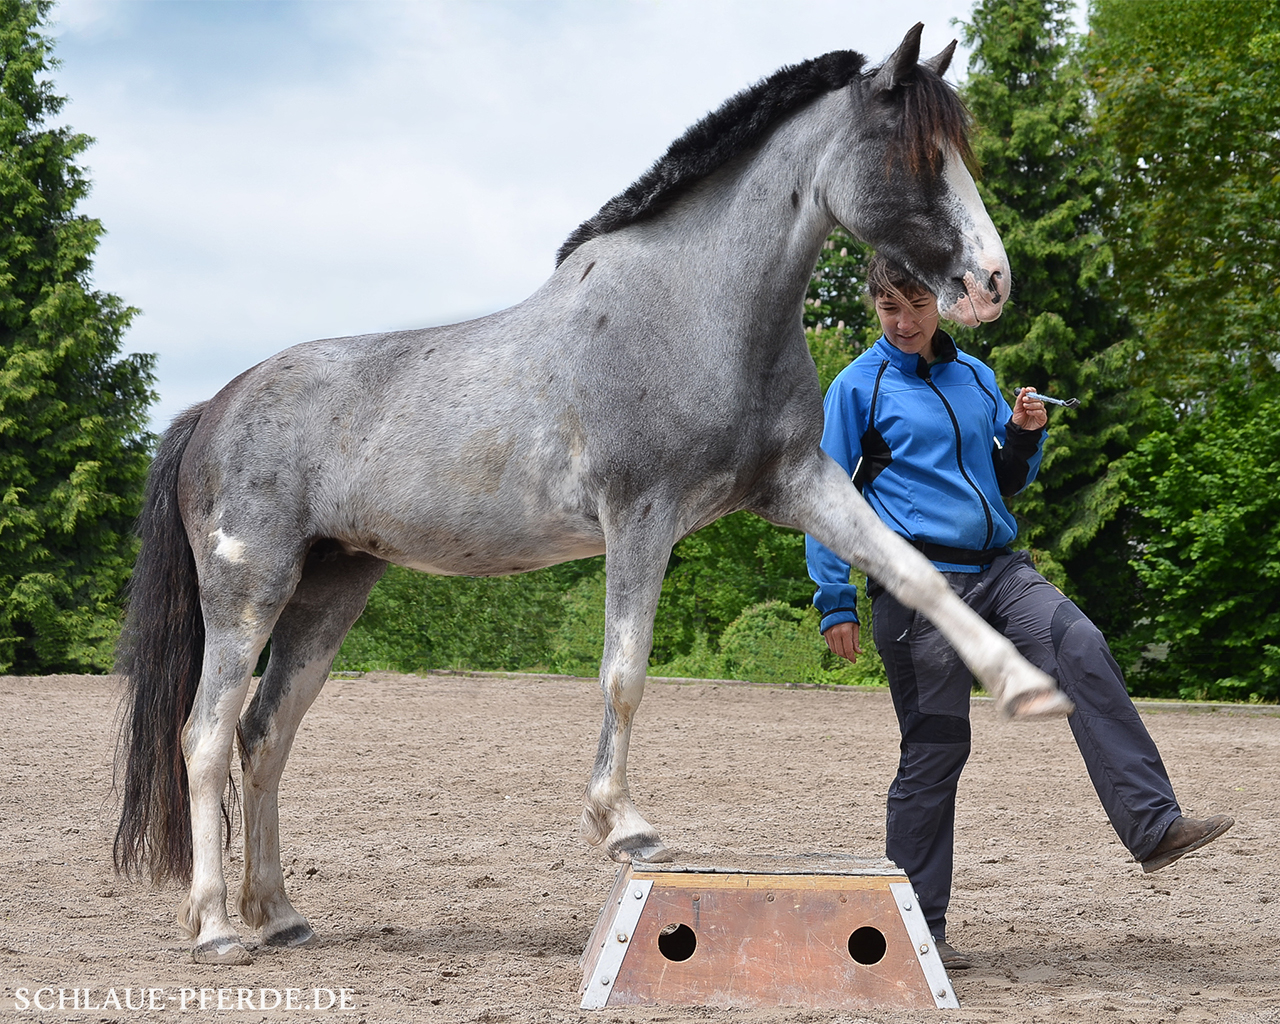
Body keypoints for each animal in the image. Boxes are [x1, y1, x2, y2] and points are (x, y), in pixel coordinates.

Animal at [113, 24, 1072, 966]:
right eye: (914, 153)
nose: (991, 283)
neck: (695, 309)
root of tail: (213, 407)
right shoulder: (641, 516)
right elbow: (624, 671)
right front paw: (625, 828)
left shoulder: (799, 484)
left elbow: (918, 574)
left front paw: (1028, 688)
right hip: (250, 591)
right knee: (205, 738)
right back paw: (216, 927)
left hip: (330, 593)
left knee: (265, 735)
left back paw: (278, 915)